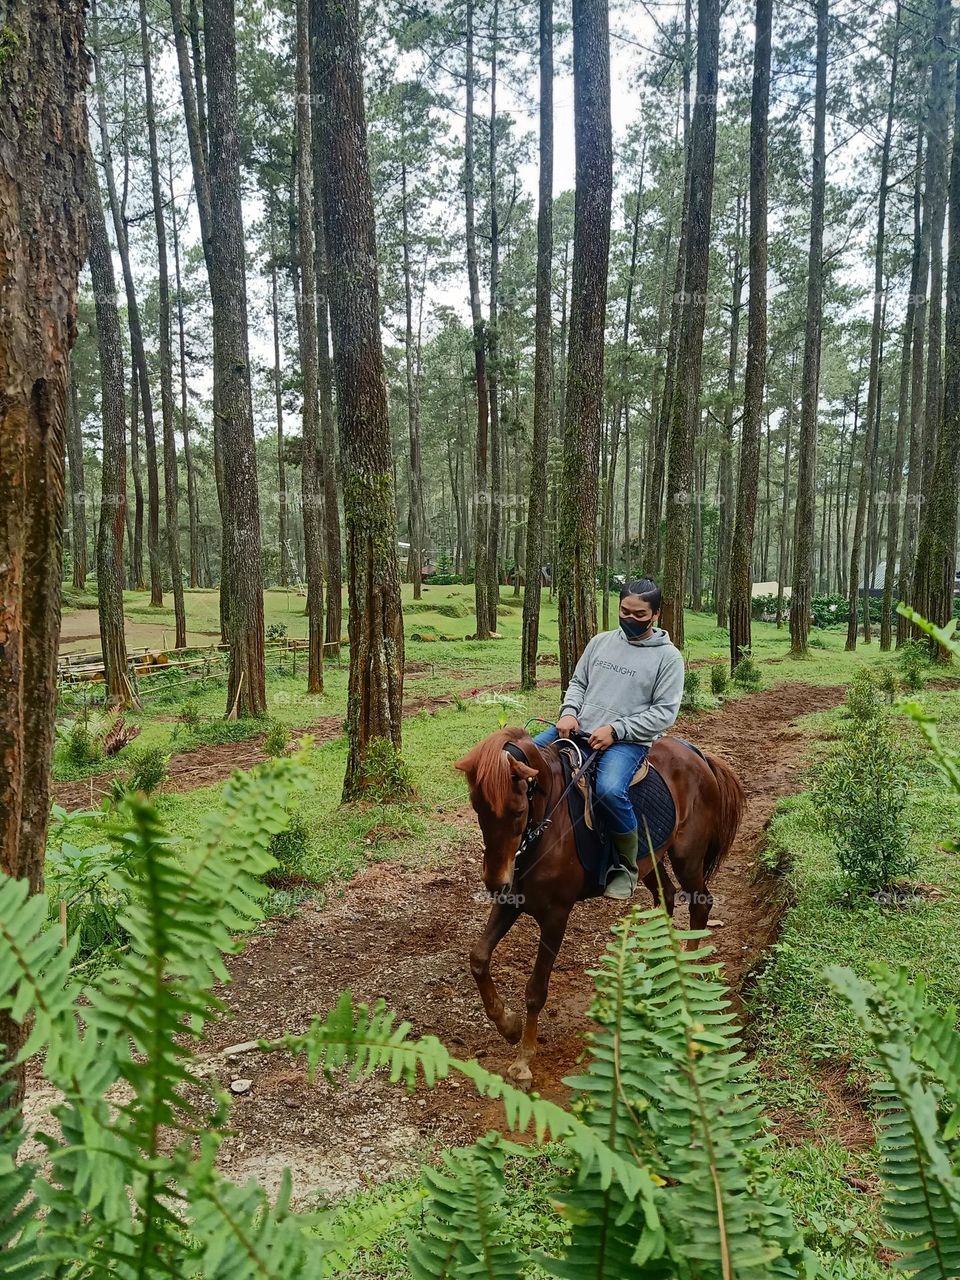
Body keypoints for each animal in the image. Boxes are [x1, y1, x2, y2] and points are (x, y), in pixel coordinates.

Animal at [455, 727, 747, 1085]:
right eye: (477, 808)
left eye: (518, 811)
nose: (495, 882)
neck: (546, 824)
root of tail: (698, 754)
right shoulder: (511, 901)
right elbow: (478, 958)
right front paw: (508, 1025)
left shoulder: (556, 915)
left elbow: (536, 989)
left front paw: (524, 1058)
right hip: (650, 859)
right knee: (665, 897)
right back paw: (657, 967)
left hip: (687, 857)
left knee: (700, 904)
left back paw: (686, 973)